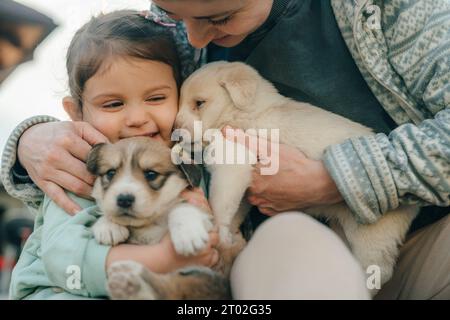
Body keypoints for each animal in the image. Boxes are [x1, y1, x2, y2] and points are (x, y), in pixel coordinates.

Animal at [88, 138, 236, 300]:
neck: (150, 223)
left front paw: (188, 234)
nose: (124, 199)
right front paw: (108, 226)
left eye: (151, 174)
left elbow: (181, 208)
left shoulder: (208, 221)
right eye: (111, 173)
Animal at [174, 61, 420, 294]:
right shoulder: (243, 185)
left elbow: (219, 205)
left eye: (199, 103)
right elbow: (235, 210)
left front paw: (217, 233)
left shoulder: (233, 168)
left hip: (371, 236)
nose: (175, 134)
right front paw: (230, 235)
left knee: (379, 271)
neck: (246, 112)